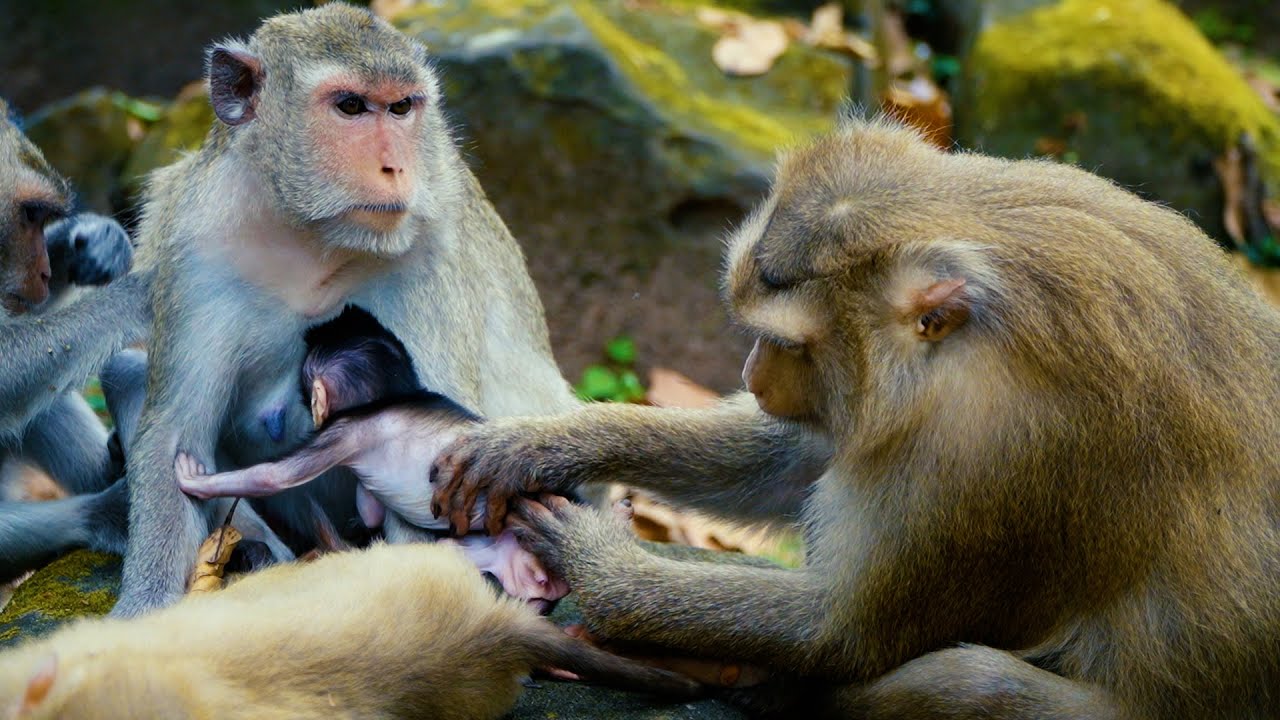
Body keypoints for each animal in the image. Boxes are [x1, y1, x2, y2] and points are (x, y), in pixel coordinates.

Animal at [0, 97, 151, 583]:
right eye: (29, 215)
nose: (45, 272)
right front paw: (140, 293)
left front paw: (93, 245)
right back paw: (105, 510)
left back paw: (111, 467)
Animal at [430, 116, 1280, 718]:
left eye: (782, 342)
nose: (752, 375)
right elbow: (796, 460)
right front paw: (545, 443)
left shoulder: (992, 447)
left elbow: (843, 629)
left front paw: (601, 562)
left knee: (967, 678)